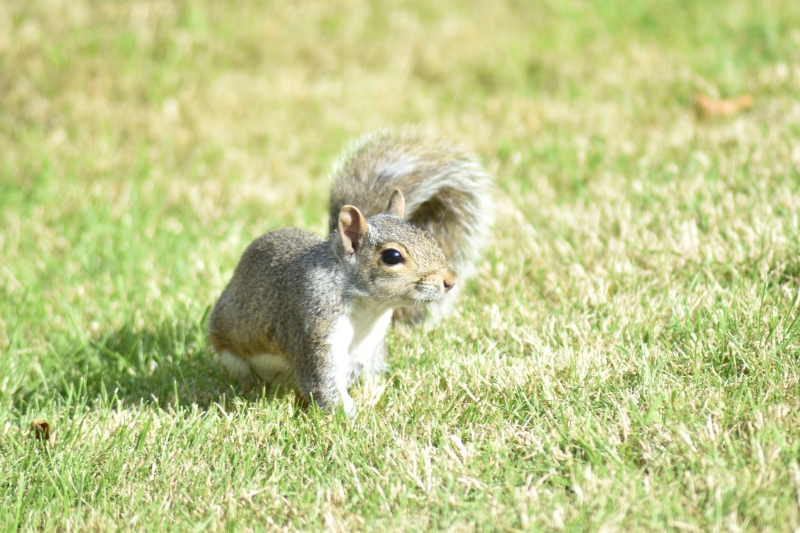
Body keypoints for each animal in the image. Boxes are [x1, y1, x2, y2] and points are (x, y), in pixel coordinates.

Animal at [206, 129, 494, 416]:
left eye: (429, 236)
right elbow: (322, 384)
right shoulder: (312, 324)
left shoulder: (367, 346)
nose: (451, 280)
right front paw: (353, 420)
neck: (367, 307)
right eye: (392, 256)